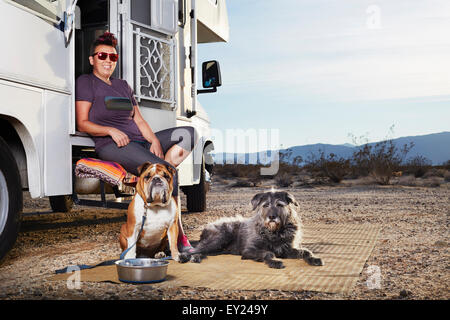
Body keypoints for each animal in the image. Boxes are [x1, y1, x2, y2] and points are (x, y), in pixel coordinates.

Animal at [179, 190, 324, 268]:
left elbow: (306, 252)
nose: (272, 217)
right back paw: (186, 257)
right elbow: (268, 253)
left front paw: (314, 259)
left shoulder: (286, 249)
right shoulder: (249, 250)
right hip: (219, 238)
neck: (274, 232)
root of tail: (208, 225)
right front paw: (275, 262)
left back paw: (196, 257)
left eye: (280, 205)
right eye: (265, 205)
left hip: (218, 248)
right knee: (194, 249)